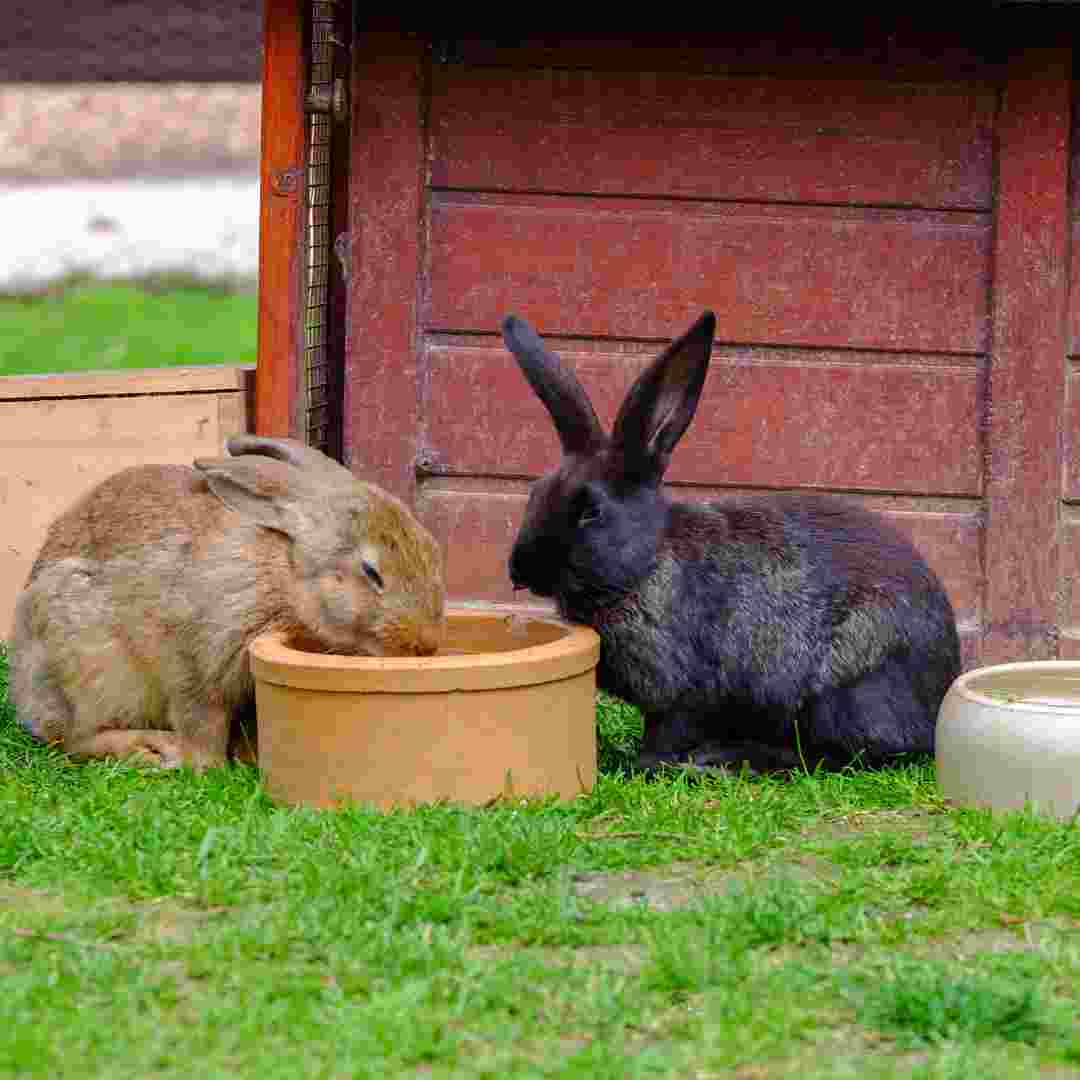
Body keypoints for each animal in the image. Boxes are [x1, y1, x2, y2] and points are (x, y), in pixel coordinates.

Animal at [12, 434, 442, 773]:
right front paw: (204, 765)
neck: (286, 576)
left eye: (432, 549)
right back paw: (150, 750)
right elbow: (202, 720)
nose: (424, 645)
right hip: (89, 666)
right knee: (74, 740)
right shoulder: (196, 663)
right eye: (372, 573)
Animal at [503, 308, 963, 773]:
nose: (520, 569)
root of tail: (934, 702)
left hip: (839, 692)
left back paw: (722, 758)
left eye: (590, 512)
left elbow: (666, 733)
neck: (645, 565)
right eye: (536, 492)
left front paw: (645, 763)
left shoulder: (685, 691)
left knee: (832, 757)